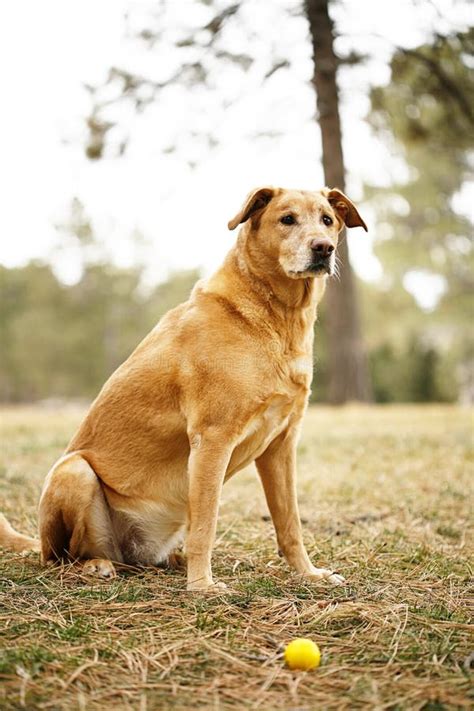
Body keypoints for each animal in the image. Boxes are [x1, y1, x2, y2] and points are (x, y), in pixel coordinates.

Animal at [0, 186, 366, 592]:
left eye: (327, 220)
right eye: (287, 219)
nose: (323, 248)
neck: (277, 318)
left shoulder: (281, 446)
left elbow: (289, 524)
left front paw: (308, 574)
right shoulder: (212, 440)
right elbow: (205, 525)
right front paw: (202, 586)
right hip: (74, 471)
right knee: (58, 558)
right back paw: (94, 565)